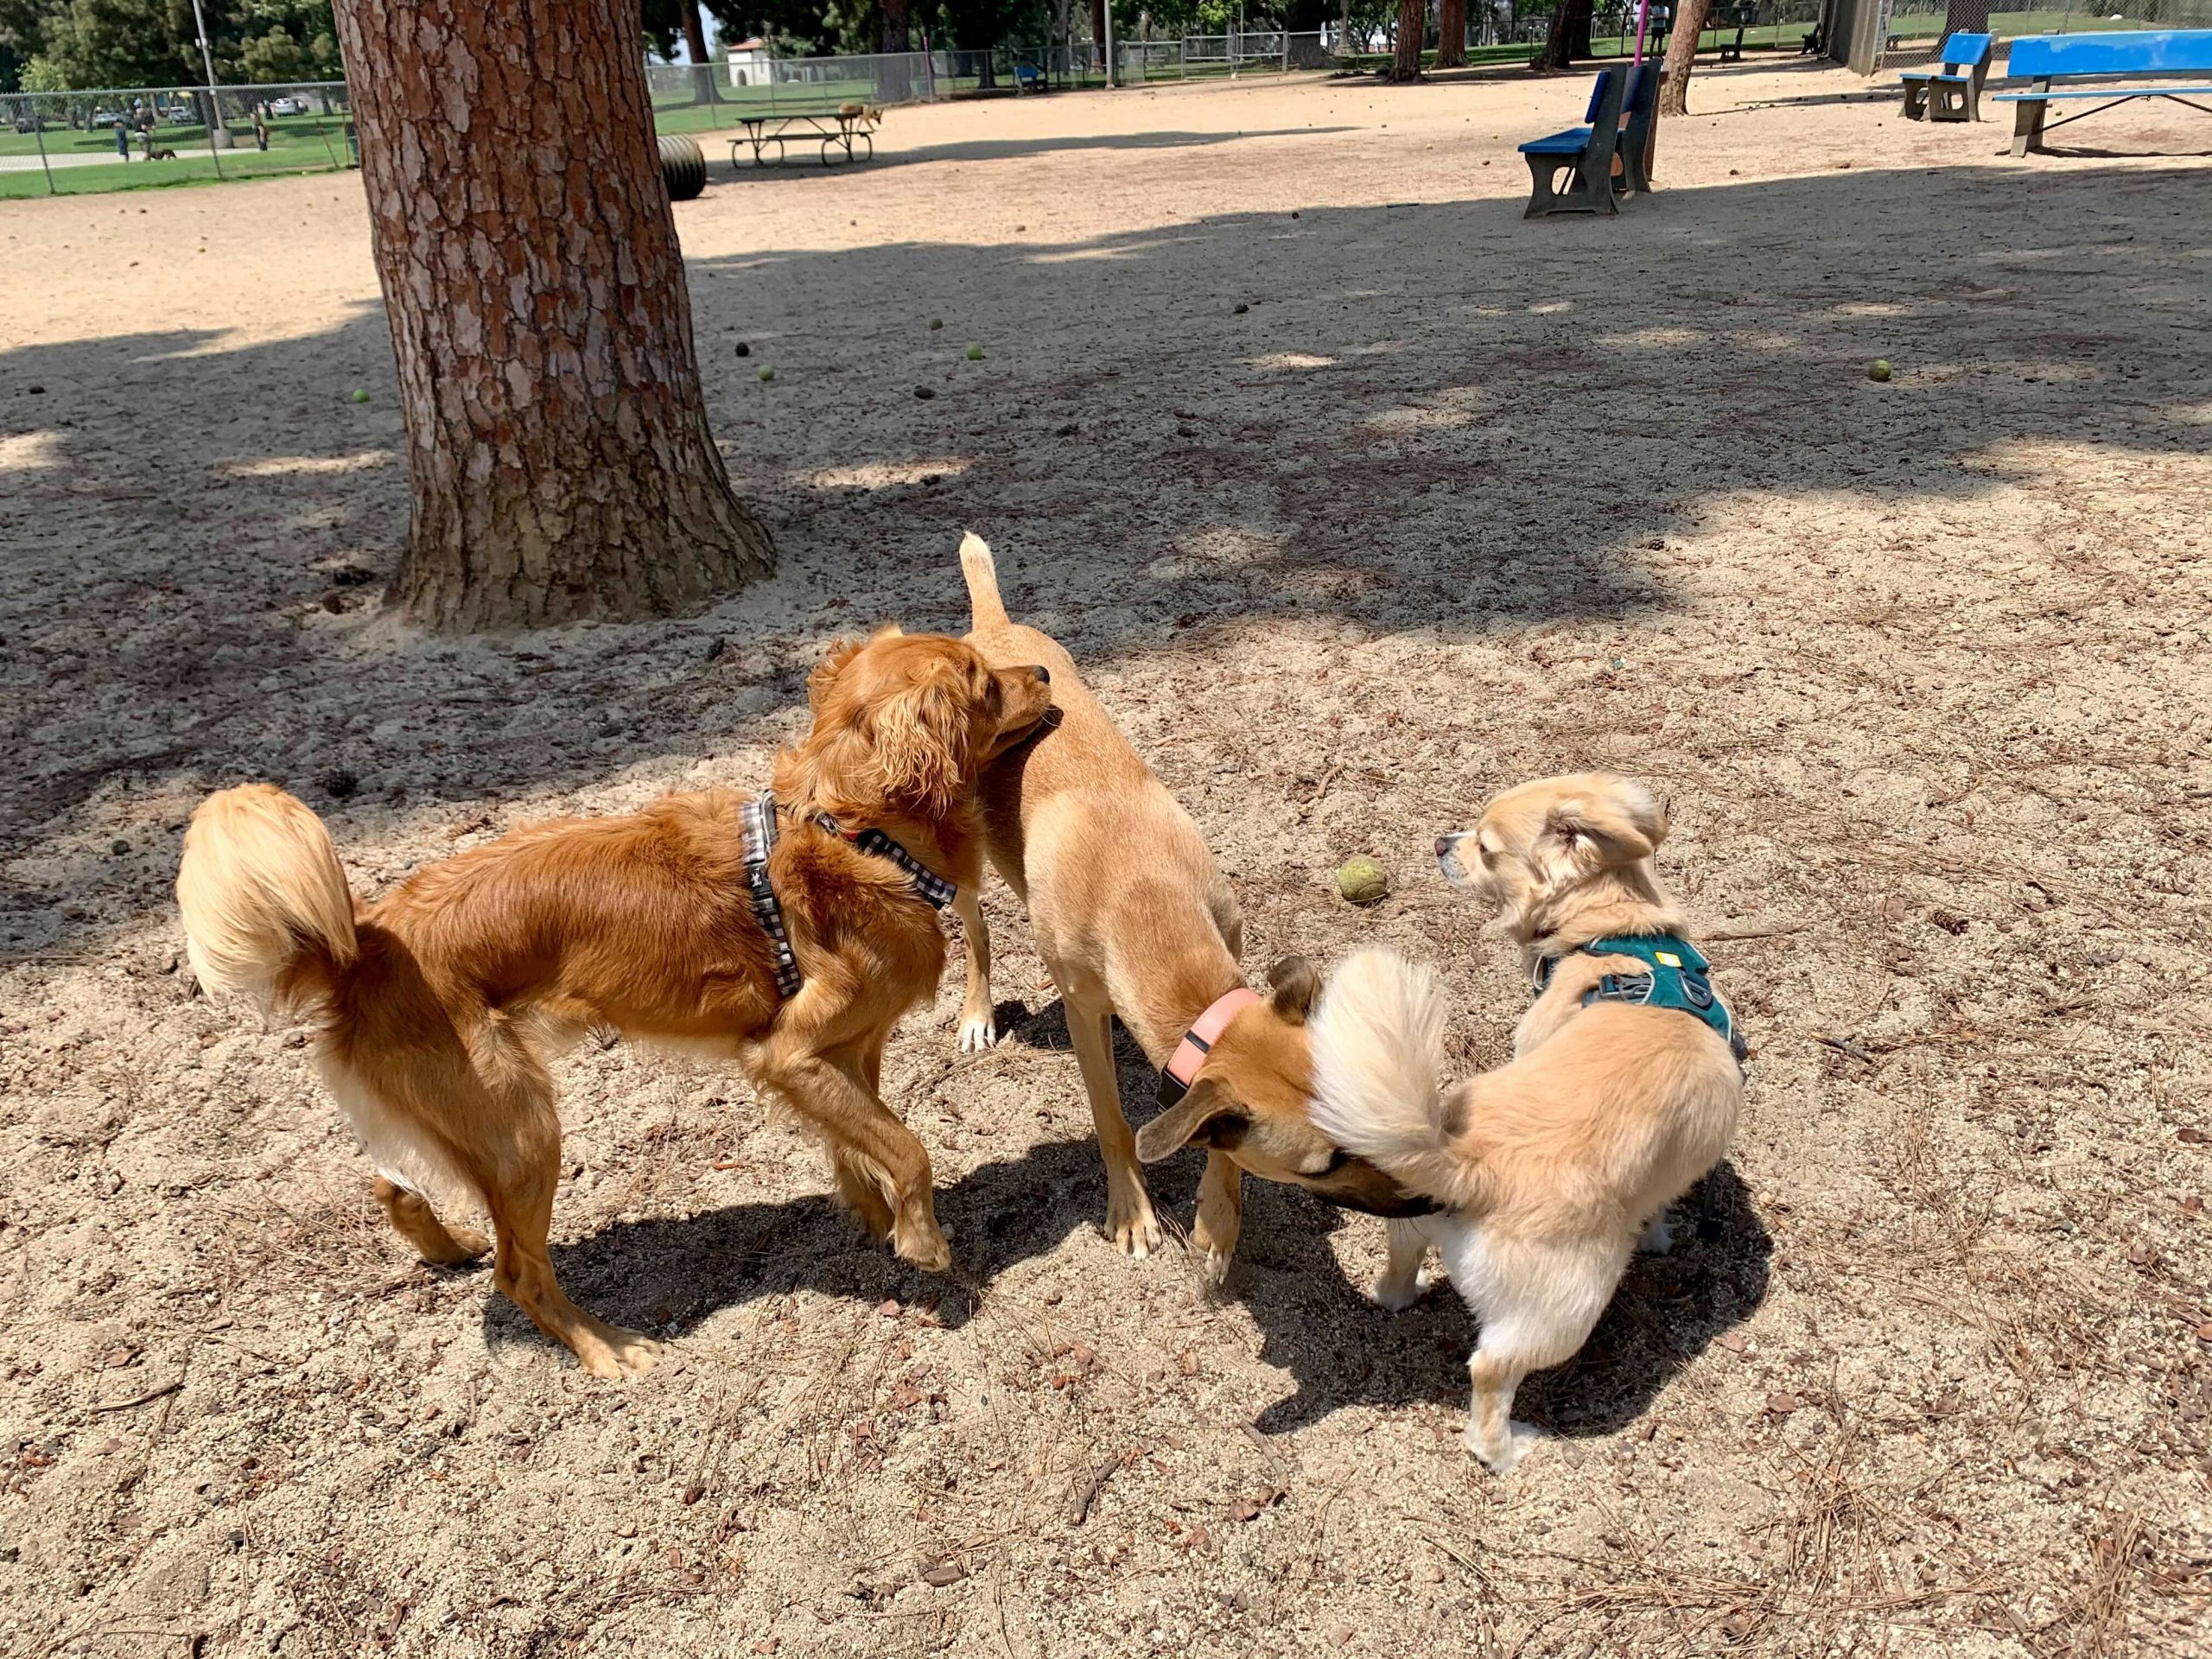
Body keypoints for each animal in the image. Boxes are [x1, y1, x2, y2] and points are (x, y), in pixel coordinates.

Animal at [176, 629, 1052, 1378]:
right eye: (982, 683)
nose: (1044, 671)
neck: (857, 830)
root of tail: (362, 944)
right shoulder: (790, 1051)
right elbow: (907, 1147)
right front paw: (924, 1241)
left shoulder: (841, 1055)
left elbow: (862, 1143)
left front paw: (877, 1220)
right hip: (523, 1130)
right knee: (520, 1274)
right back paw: (609, 1349)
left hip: (463, 1121)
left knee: (397, 1186)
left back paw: (447, 1249)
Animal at [956, 534, 1426, 1270]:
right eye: (1323, 1165)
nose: (1427, 1199)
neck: (1142, 895)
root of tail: (990, 629)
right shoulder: (1083, 1013)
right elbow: (1112, 1120)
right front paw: (1132, 1212)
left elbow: (1215, 1138)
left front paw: (1217, 1218)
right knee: (974, 929)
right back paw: (977, 1014)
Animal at [1302, 774, 1746, 1471]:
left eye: (1483, 848)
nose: (1440, 842)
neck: (1618, 937)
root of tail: (1465, 1163)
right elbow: (1657, 1208)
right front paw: (1659, 1238)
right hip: (1569, 1307)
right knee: (1490, 1371)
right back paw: (1507, 1451)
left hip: (1416, 1228)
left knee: (1400, 1277)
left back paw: (1403, 1292)